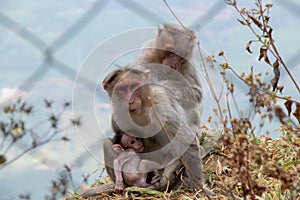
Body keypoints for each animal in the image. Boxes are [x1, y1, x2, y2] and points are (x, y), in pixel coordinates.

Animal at [102, 67, 214, 195]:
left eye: (134, 86)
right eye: (121, 89)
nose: (130, 101)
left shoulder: (159, 105)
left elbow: (185, 142)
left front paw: (199, 187)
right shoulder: (117, 113)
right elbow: (118, 138)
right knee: (106, 144)